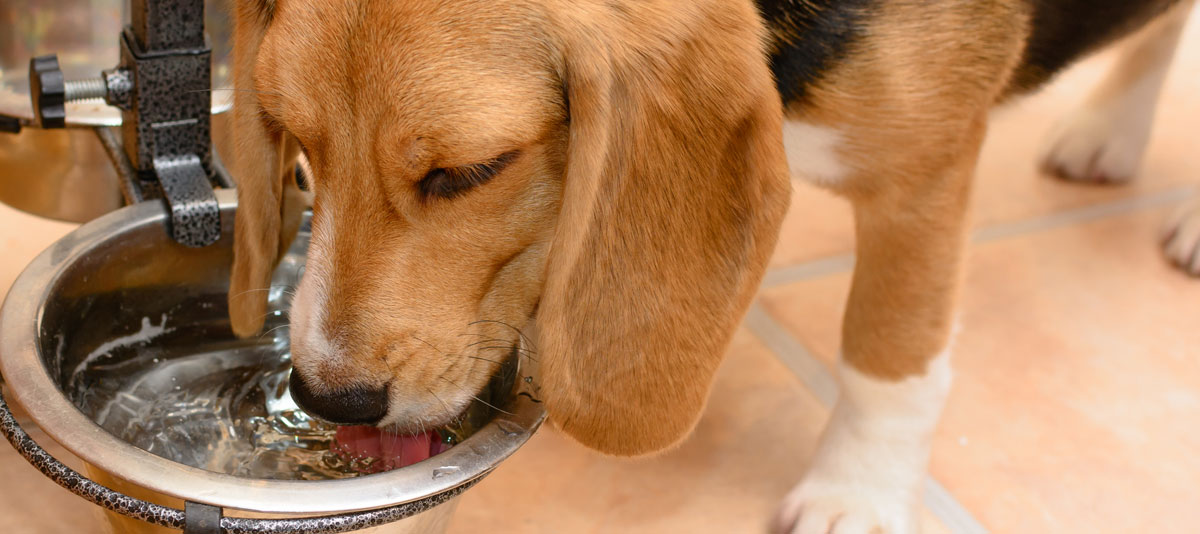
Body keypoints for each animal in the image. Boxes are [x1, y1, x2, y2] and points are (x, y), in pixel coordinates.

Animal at [226, 0, 1190, 530]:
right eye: (298, 150)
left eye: (469, 172)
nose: (329, 400)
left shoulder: (924, 177)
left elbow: (888, 358)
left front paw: (857, 495)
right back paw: (1110, 131)